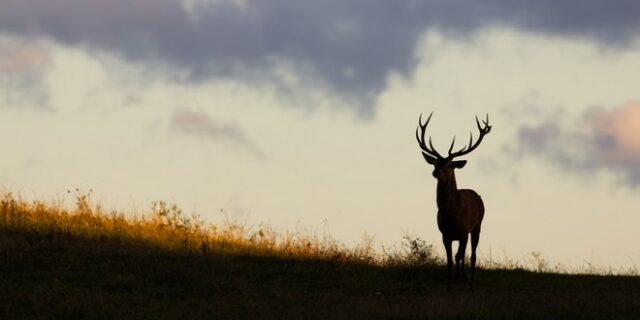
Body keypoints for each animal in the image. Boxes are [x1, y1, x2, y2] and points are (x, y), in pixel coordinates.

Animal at [418, 112, 492, 290]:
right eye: (435, 163)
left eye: (450, 165)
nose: (437, 172)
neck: (452, 215)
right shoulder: (445, 234)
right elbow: (450, 261)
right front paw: (449, 286)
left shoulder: (464, 231)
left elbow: (460, 257)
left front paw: (460, 279)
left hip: (478, 226)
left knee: (472, 256)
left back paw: (470, 283)